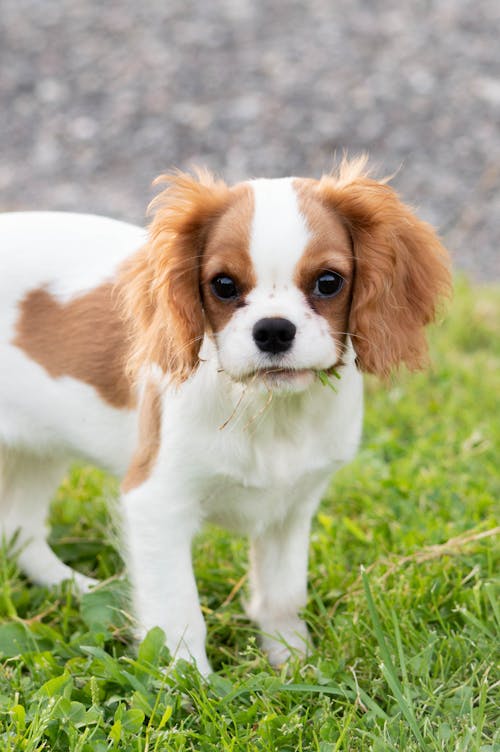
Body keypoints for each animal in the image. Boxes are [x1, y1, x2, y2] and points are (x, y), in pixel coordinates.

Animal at [0, 159, 450, 676]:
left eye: (329, 282)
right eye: (224, 285)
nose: (273, 331)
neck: (268, 408)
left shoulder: (292, 507)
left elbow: (282, 596)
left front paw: (295, 665)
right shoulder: (157, 502)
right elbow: (179, 611)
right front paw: (188, 682)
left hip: (39, 451)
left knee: (18, 530)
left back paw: (78, 587)